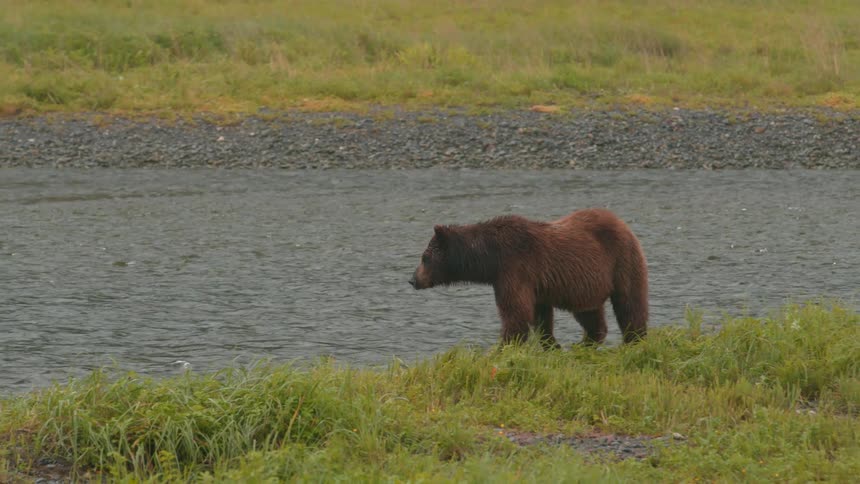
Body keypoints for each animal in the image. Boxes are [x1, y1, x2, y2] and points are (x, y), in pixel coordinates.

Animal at [409, 208, 648, 346]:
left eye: (424, 257)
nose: (413, 279)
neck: (490, 258)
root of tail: (621, 222)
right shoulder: (535, 285)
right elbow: (540, 316)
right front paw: (551, 345)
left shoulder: (515, 269)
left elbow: (516, 313)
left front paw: (503, 347)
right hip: (587, 285)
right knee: (590, 314)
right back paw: (586, 342)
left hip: (622, 261)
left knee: (630, 302)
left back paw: (635, 339)